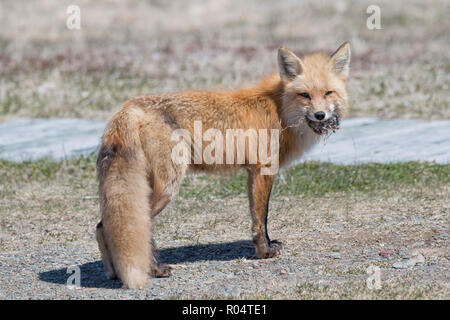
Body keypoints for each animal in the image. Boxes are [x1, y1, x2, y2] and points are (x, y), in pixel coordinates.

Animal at [96, 42, 352, 288]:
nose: (320, 115)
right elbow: (262, 218)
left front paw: (267, 246)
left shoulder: (251, 172)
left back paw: (114, 273)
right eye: (304, 95)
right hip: (166, 188)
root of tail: (126, 109)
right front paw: (264, 252)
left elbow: (257, 216)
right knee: (134, 226)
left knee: (101, 226)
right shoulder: (264, 169)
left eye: (328, 93)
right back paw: (154, 270)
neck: (279, 111)